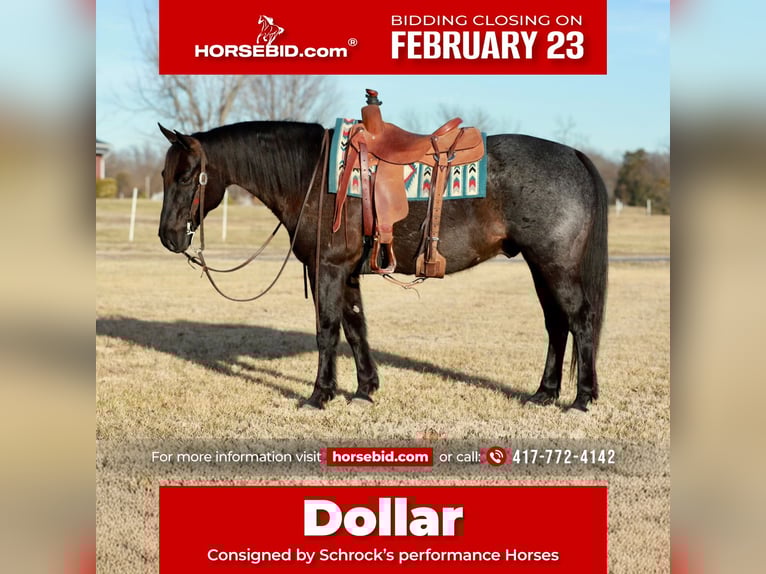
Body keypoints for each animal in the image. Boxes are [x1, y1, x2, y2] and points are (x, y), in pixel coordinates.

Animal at [158, 120, 608, 412]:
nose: (168, 236)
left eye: (187, 176)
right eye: (164, 173)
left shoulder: (328, 268)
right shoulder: (346, 272)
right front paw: (364, 390)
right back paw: (544, 393)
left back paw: (581, 398)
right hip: (539, 266)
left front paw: (319, 395)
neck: (313, 176)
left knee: (580, 320)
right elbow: (356, 327)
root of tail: (573, 155)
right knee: (556, 325)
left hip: (555, 265)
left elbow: (327, 331)